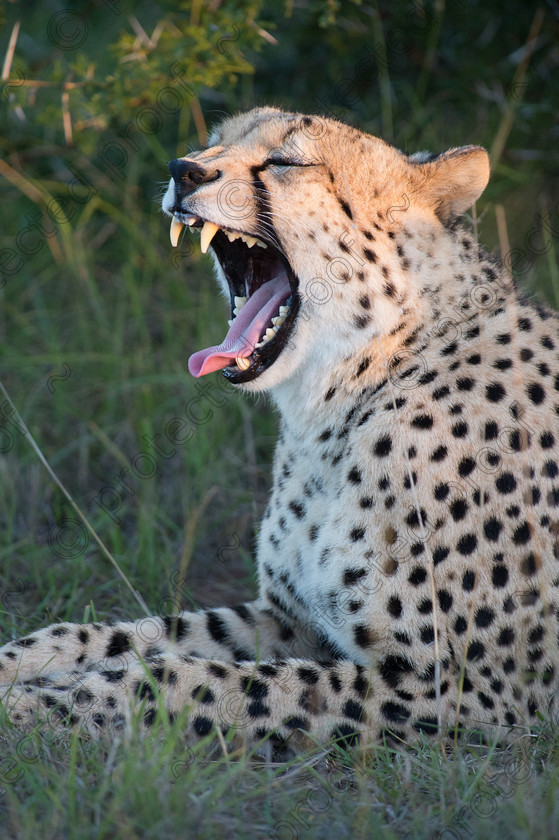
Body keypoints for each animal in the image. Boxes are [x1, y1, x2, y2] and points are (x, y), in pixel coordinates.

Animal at [1, 105, 559, 756]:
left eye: (286, 161)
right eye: (214, 143)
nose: (183, 170)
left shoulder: (477, 690)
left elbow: (193, 680)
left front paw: (40, 704)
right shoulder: (293, 619)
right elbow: (128, 635)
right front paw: (19, 666)